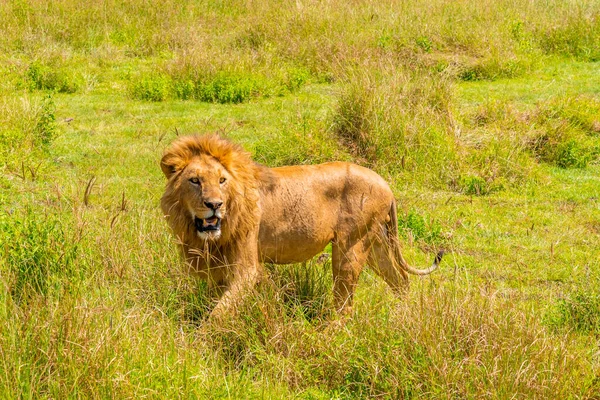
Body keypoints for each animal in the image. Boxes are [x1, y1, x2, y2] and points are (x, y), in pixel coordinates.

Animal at [159, 136, 440, 318]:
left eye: (222, 180)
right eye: (195, 180)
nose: (215, 205)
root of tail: (385, 184)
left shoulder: (246, 267)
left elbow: (217, 315)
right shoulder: (220, 268)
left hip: (350, 247)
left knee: (345, 304)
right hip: (376, 242)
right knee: (400, 279)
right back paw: (403, 315)